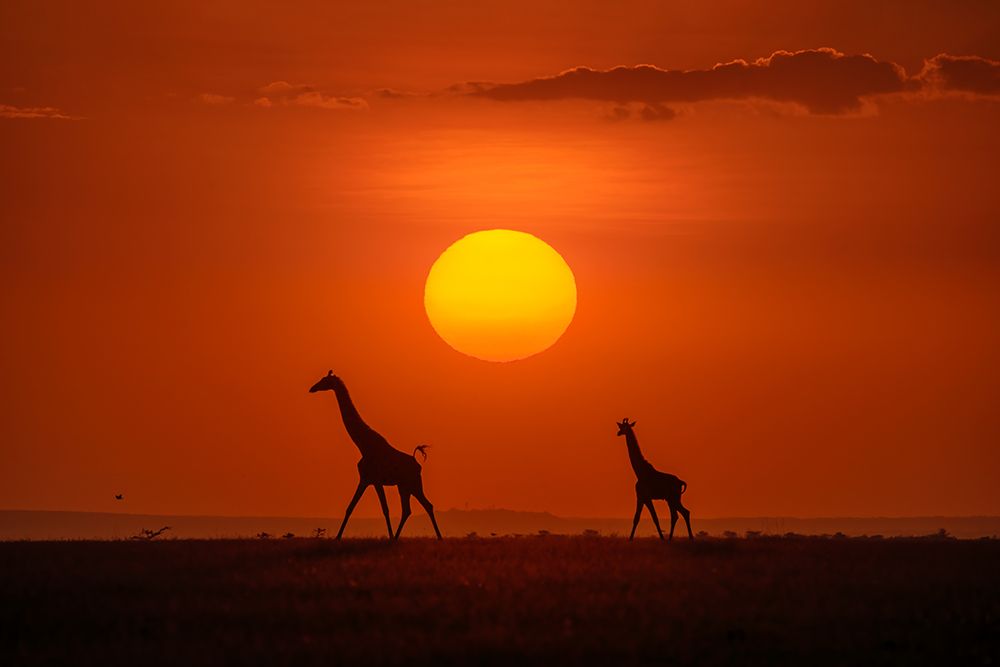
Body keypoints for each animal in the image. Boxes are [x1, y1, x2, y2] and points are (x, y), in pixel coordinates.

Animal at [309, 371, 443, 540]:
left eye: (325, 380)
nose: (312, 388)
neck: (363, 445)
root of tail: (418, 464)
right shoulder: (366, 479)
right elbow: (350, 507)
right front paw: (337, 537)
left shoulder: (375, 480)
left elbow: (385, 509)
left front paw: (389, 537)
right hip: (404, 486)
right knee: (409, 509)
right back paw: (399, 537)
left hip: (413, 484)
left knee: (425, 506)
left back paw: (437, 537)